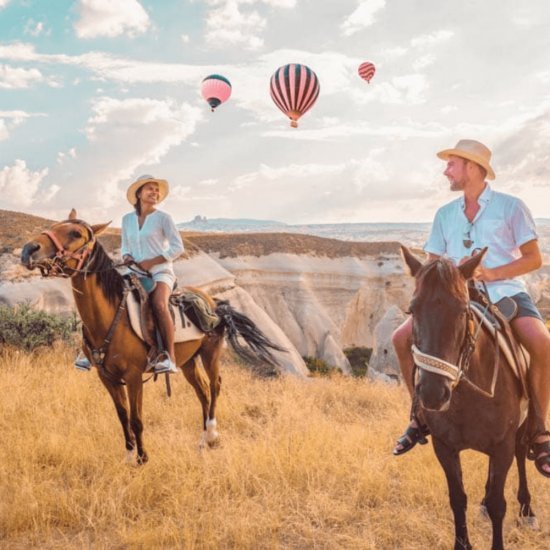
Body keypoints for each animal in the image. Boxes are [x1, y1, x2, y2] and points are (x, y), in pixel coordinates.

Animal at [21, 211, 284, 466]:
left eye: (75, 233)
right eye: (54, 226)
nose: (28, 250)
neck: (109, 318)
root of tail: (213, 301)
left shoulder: (133, 376)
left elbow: (136, 419)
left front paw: (142, 458)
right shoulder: (107, 378)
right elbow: (122, 416)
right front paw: (129, 456)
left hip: (211, 353)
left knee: (215, 385)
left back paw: (211, 434)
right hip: (187, 362)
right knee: (202, 391)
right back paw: (201, 441)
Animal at [402, 248, 540, 550]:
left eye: (463, 310)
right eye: (411, 309)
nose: (432, 393)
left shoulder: (502, 446)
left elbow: (499, 504)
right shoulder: (444, 447)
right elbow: (458, 499)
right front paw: (462, 543)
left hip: (520, 432)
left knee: (521, 454)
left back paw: (527, 510)